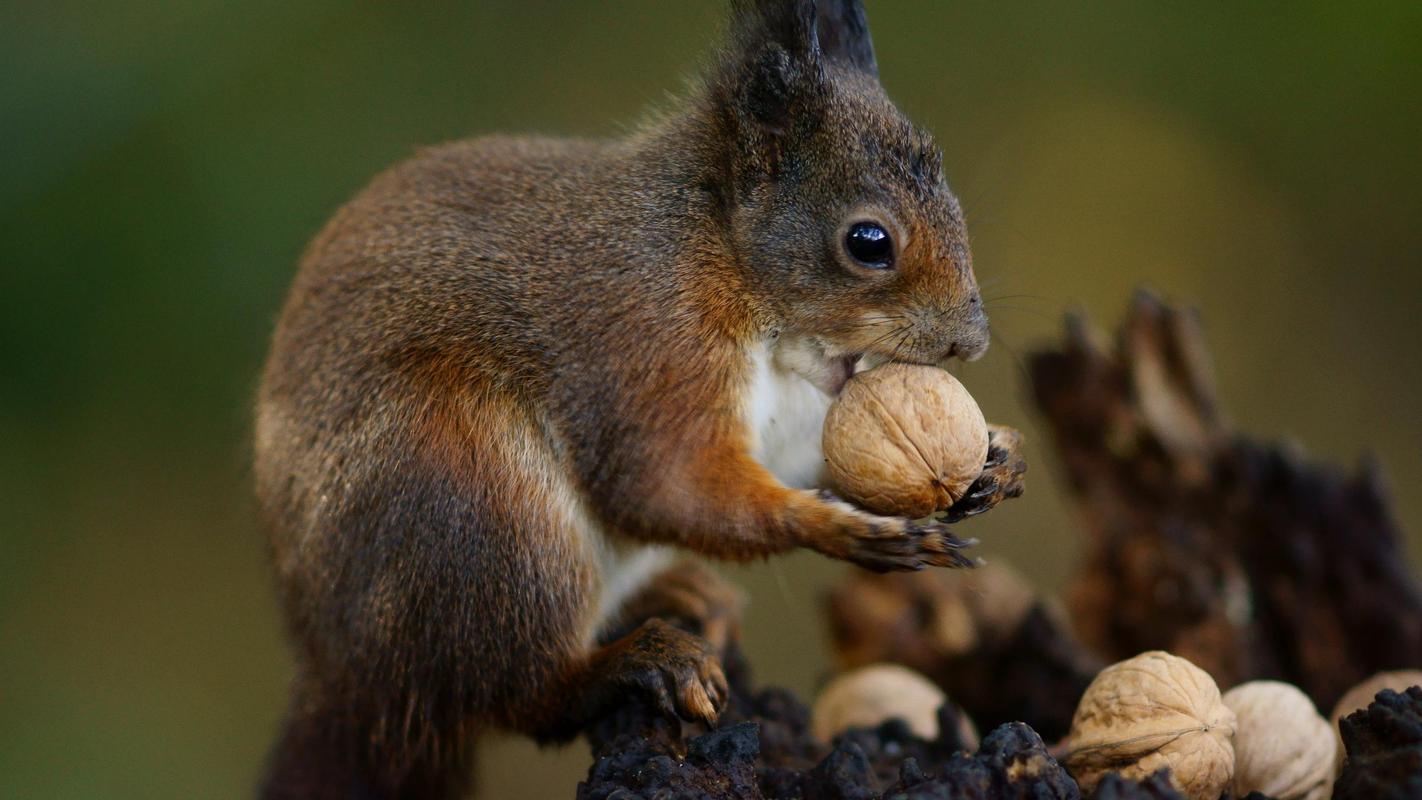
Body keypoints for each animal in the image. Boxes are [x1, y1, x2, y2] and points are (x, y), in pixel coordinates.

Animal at [253, 3, 1023, 795]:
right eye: (868, 242)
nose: (971, 342)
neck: (725, 258)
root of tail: (353, 685)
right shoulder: (648, 339)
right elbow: (661, 484)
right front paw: (844, 530)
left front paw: (992, 460)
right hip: (474, 504)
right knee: (520, 694)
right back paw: (634, 663)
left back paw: (682, 596)